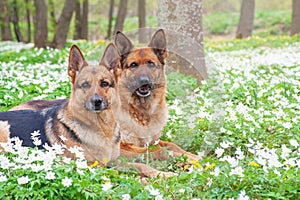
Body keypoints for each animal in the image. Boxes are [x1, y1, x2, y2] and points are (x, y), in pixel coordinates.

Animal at [9, 29, 198, 164]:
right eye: (133, 65)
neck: (140, 112)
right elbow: (159, 150)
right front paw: (188, 158)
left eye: (151, 64)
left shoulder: (151, 140)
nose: (144, 81)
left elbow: (171, 144)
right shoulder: (125, 147)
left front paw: (190, 155)